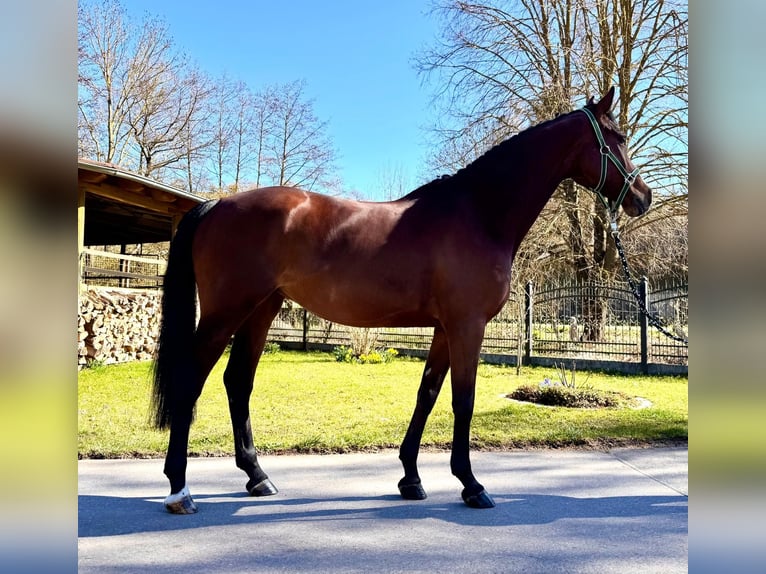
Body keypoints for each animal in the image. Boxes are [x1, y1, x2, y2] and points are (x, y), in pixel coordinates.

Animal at [152, 87, 651, 514]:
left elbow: (427, 394)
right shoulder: (468, 325)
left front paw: (411, 477)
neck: (480, 212)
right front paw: (472, 485)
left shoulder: (445, 329)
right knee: (190, 382)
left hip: (261, 310)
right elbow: (462, 400)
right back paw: (180, 489)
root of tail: (214, 206)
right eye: (618, 138)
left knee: (238, 382)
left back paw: (257, 476)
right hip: (225, 313)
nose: (643, 197)